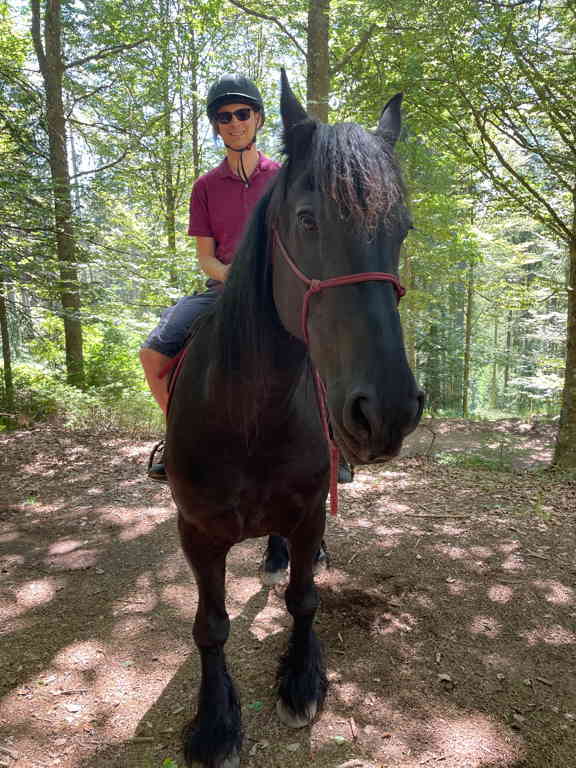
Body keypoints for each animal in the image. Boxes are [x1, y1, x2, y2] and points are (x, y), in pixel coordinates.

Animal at [165, 70, 424, 768]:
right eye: (307, 220)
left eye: (402, 230)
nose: (389, 410)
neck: (249, 415)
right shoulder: (197, 533)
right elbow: (211, 626)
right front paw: (215, 723)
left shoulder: (309, 512)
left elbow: (304, 598)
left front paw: (303, 678)